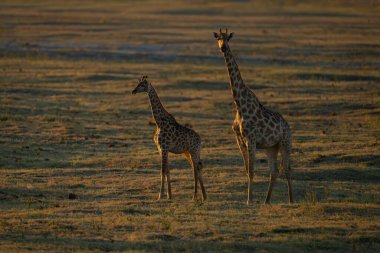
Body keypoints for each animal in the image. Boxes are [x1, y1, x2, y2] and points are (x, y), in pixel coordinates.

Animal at [214, 28, 294, 206]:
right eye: (218, 39)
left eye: (228, 39)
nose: (223, 48)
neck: (239, 105)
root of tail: (287, 125)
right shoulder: (240, 140)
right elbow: (247, 170)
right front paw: (250, 199)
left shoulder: (251, 139)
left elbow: (251, 170)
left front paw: (249, 201)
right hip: (271, 147)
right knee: (274, 171)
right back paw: (266, 201)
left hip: (285, 142)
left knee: (287, 169)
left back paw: (292, 200)